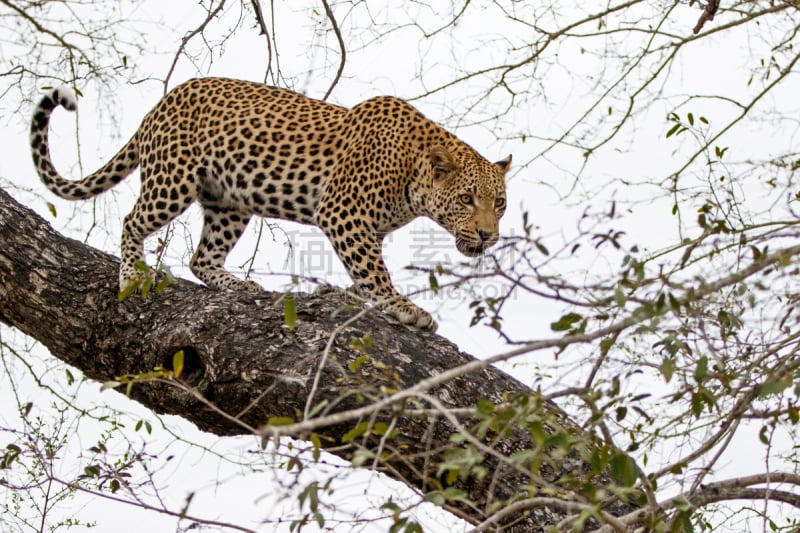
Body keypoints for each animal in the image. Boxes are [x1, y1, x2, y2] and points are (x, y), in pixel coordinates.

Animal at [29, 77, 512, 330]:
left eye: (501, 204)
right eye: (468, 199)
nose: (488, 235)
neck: (414, 175)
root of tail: (161, 104)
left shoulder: (363, 227)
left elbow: (364, 270)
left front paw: (360, 297)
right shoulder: (343, 212)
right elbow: (375, 272)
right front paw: (403, 307)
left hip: (230, 202)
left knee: (201, 258)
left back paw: (237, 285)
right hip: (172, 180)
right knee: (132, 220)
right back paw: (132, 274)